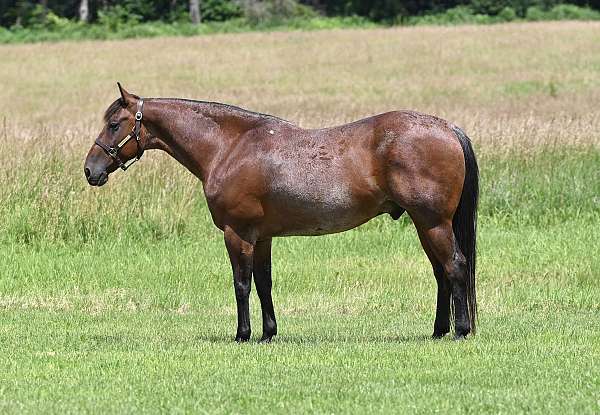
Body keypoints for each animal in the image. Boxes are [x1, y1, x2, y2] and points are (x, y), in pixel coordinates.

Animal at [84, 83, 478, 342]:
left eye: (115, 124)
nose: (90, 170)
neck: (230, 147)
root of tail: (446, 127)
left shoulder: (238, 233)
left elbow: (242, 284)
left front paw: (243, 334)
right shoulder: (262, 237)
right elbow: (264, 283)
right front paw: (268, 334)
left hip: (433, 223)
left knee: (455, 266)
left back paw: (460, 331)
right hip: (425, 224)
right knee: (441, 273)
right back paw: (438, 331)